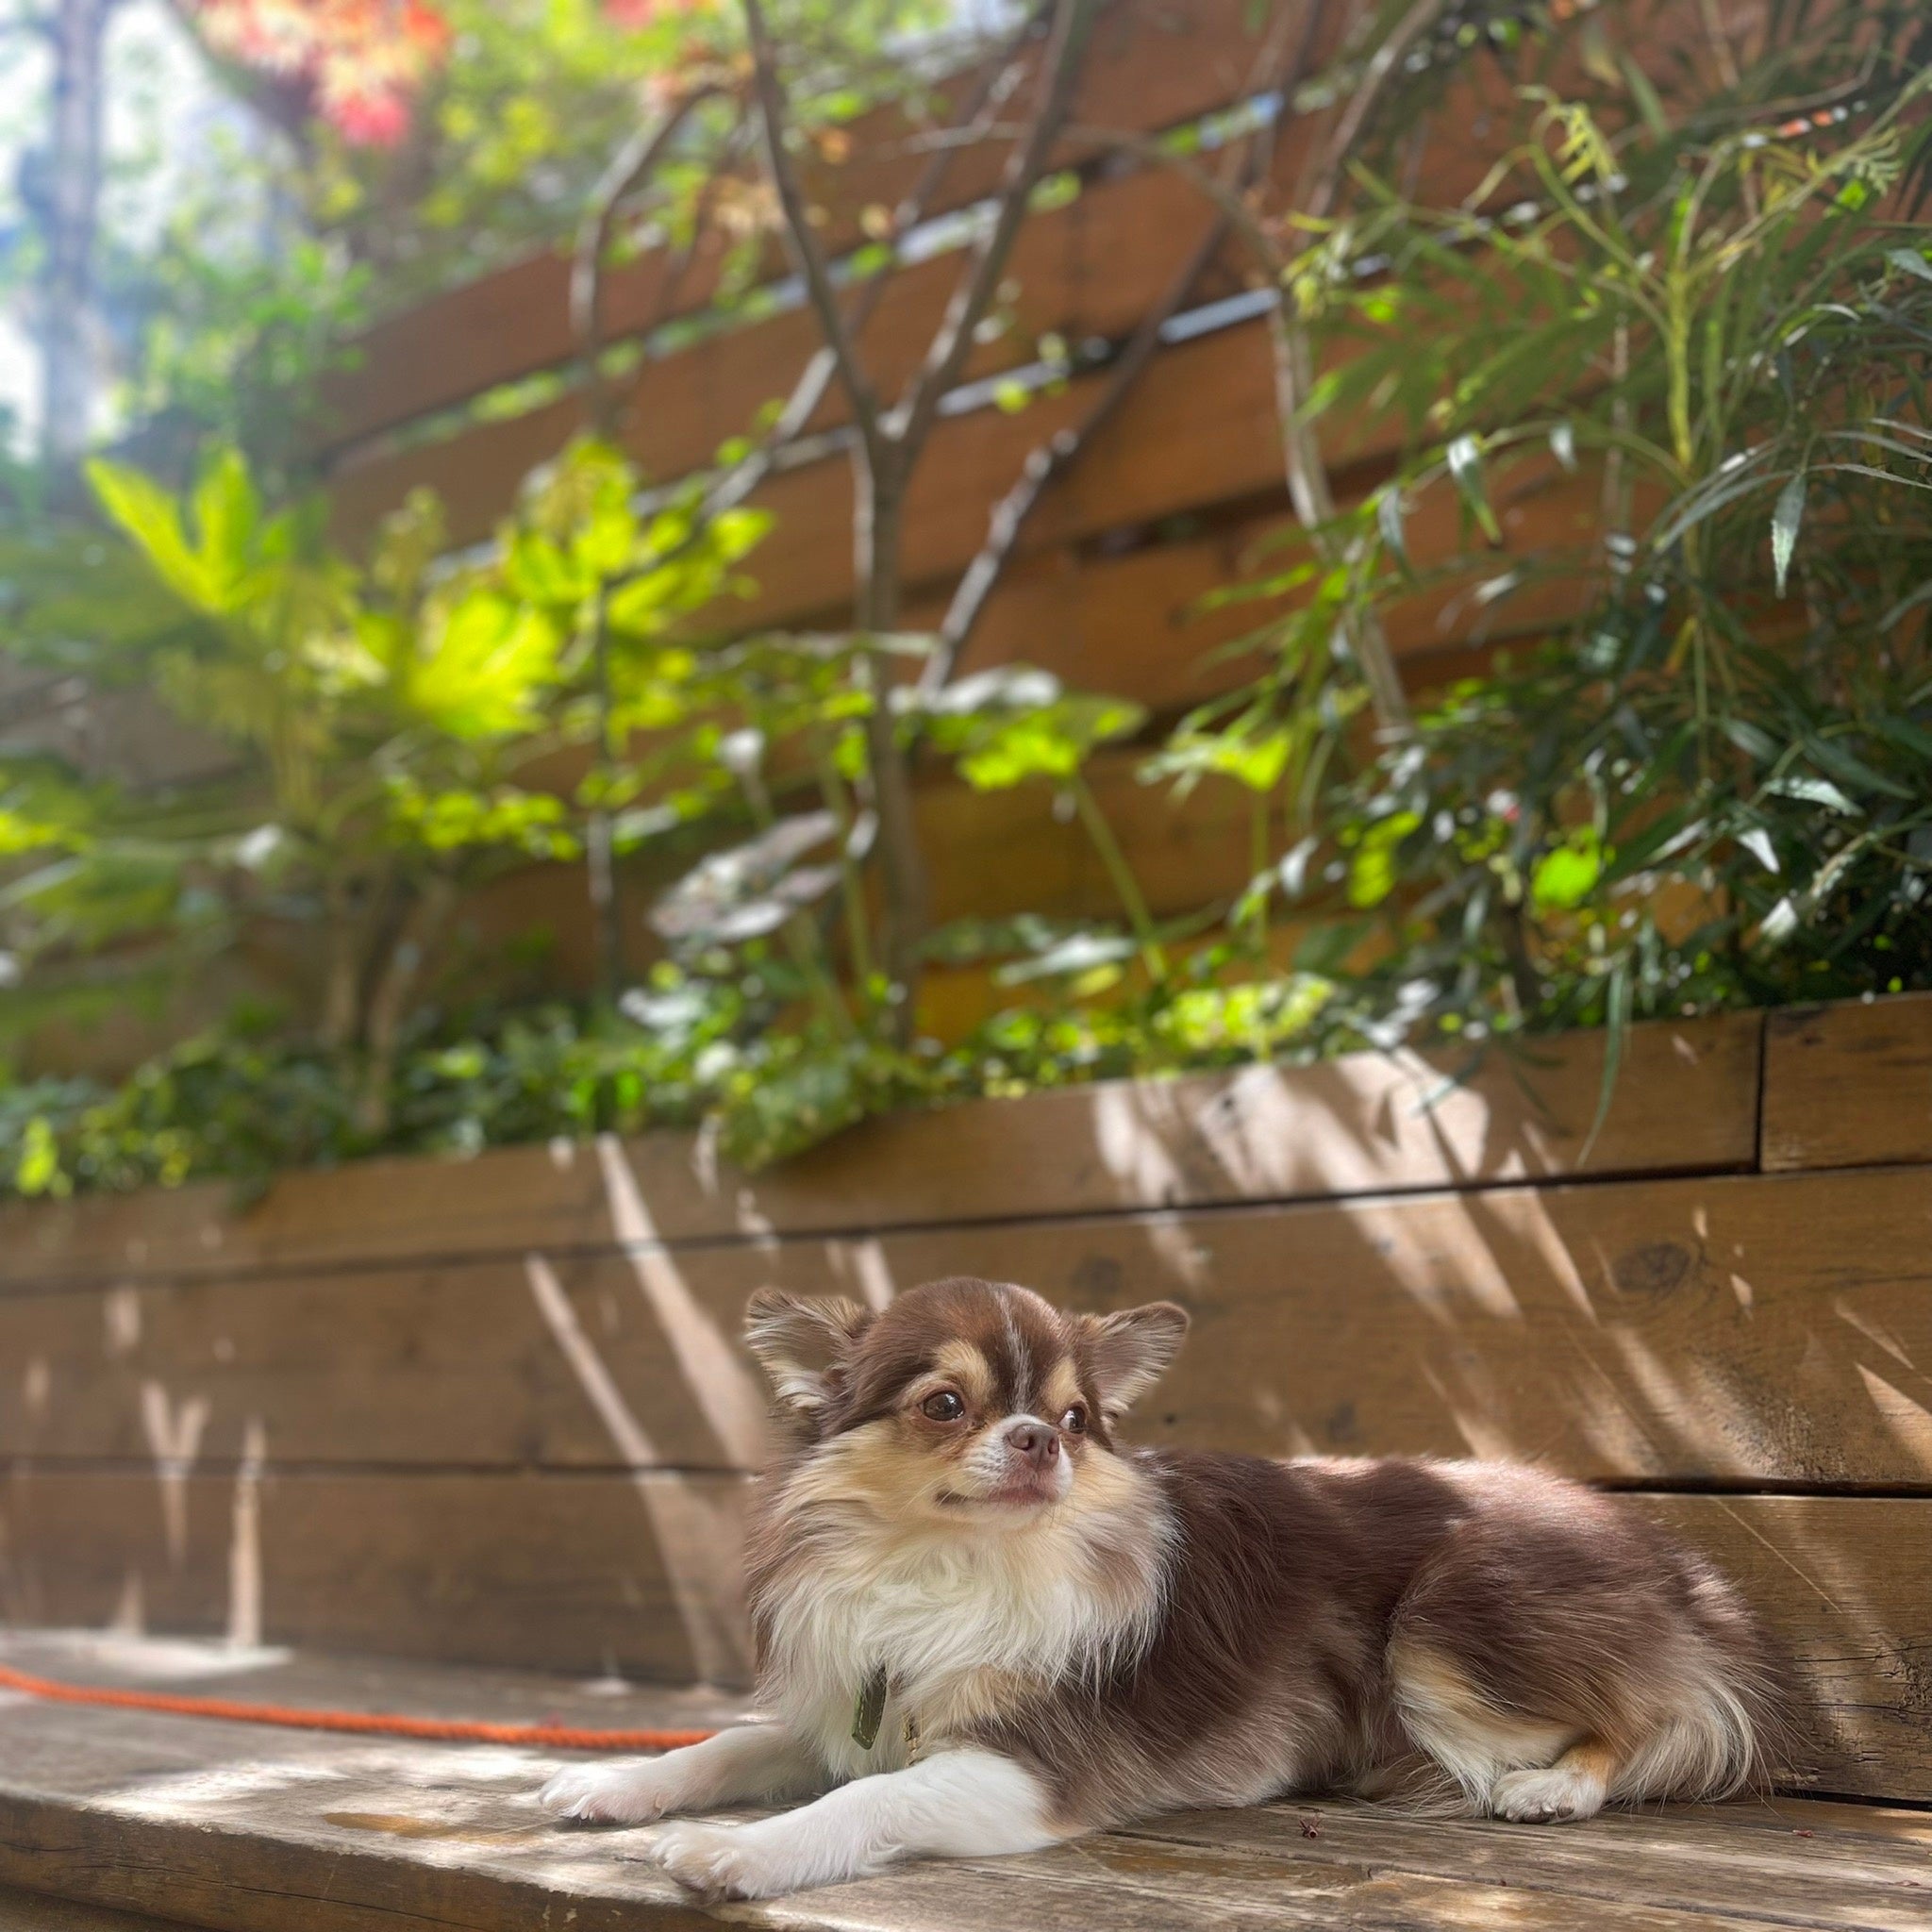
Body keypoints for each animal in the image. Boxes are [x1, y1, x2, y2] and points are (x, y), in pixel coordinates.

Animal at [541, 1276, 1795, 1900]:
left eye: (1076, 1415)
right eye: (943, 1404)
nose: (1041, 1437)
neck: (950, 1568)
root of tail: (1673, 1563)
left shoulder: (1024, 1768)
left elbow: (865, 1800)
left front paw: (742, 1850)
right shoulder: (842, 1705)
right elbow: (730, 1742)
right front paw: (613, 1784)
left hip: (1445, 1620)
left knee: (1651, 1715)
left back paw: (1552, 1787)